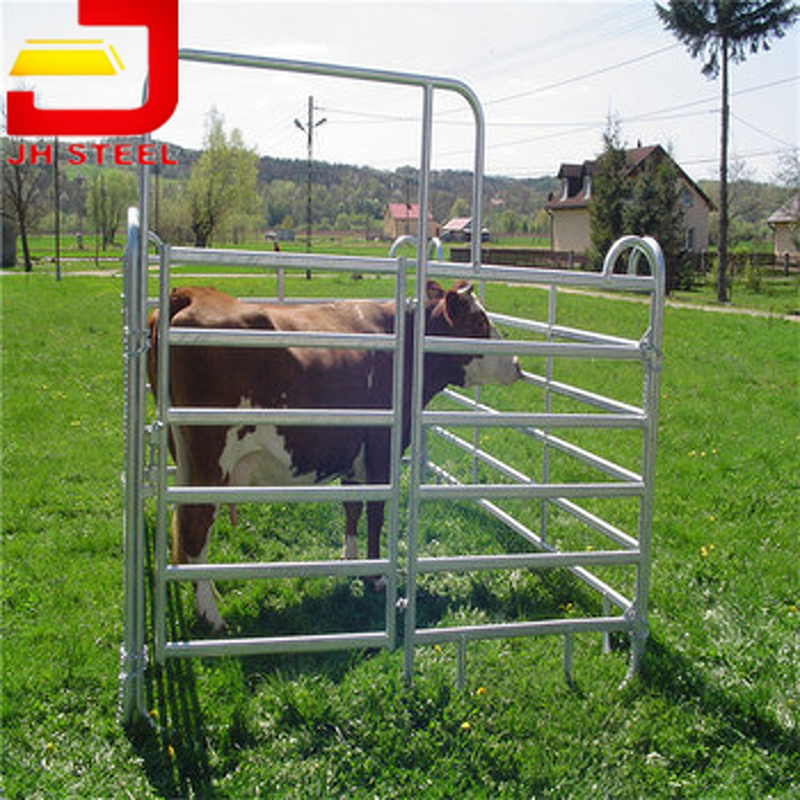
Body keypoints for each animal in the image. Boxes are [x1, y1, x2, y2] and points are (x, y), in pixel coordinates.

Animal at [147, 280, 520, 630]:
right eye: (478, 322)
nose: (517, 363)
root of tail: (192, 293)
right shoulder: (382, 450)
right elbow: (375, 513)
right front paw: (376, 576)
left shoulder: (355, 453)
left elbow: (352, 507)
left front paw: (351, 562)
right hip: (212, 461)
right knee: (195, 527)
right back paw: (212, 616)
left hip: (186, 458)